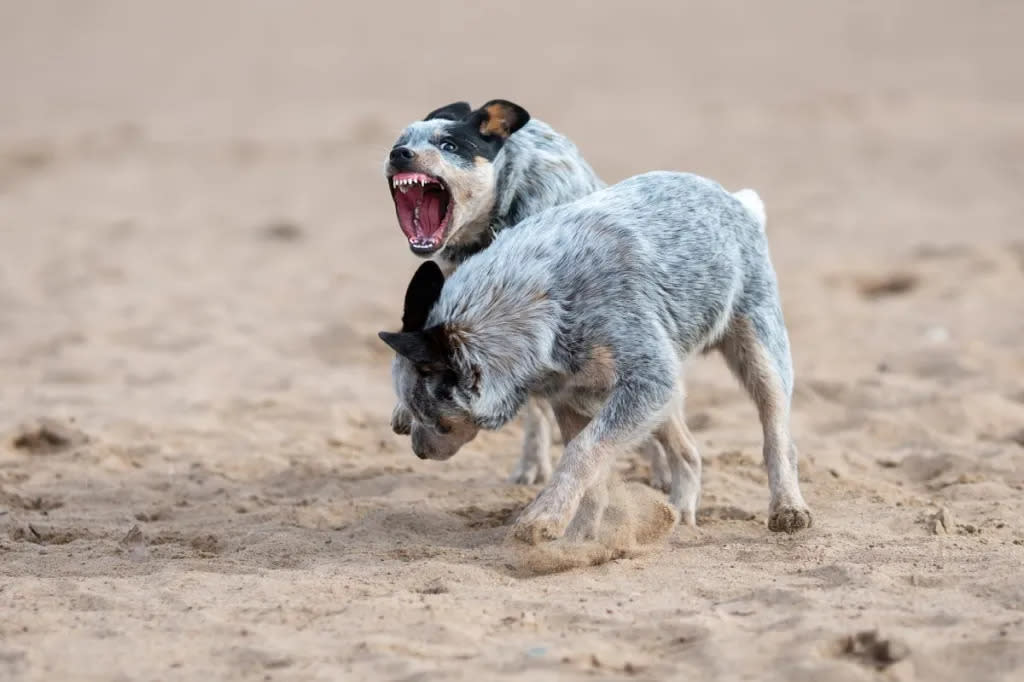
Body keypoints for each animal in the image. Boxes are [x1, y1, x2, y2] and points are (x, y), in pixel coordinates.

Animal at [380, 171, 811, 540]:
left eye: (435, 419)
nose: (417, 450)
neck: (545, 303)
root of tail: (737, 201)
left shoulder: (648, 381)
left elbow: (583, 452)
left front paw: (543, 519)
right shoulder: (572, 397)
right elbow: (591, 467)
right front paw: (581, 533)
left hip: (758, 351)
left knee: (778, 436)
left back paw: (788, 508)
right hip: (664, 393)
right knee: (687, 451)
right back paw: (678, 513)